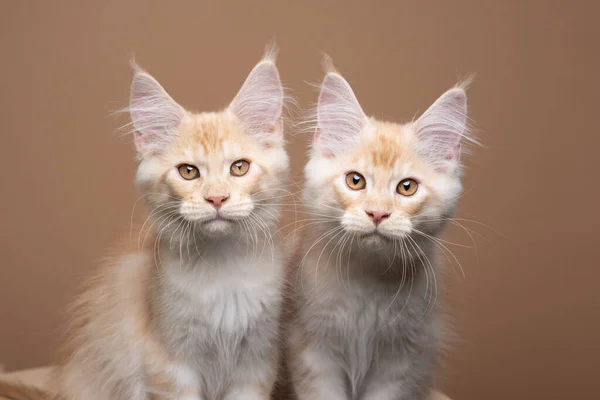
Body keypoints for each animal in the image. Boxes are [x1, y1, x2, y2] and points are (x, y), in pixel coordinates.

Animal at [0, 51, 290, 398]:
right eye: (188, 172)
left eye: (239, 167)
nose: (216, 199)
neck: (223, 269)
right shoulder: (169, 364)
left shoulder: (256, 361)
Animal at [286, 69, 474, 400]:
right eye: (355, 181)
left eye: (407, 187)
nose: (377, 213)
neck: (368, 279)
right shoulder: (313, 349)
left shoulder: (401, 359)